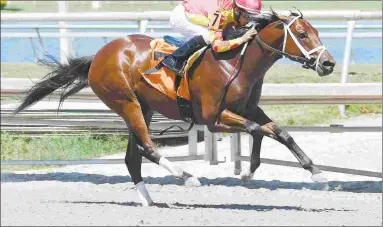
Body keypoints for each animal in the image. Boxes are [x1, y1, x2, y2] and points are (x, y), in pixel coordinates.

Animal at [13, 10, 334, 206]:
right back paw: (187, 176)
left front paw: (316, 172)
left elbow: (279, 132)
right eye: (302, 34)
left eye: (316, 31)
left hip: (142, 108)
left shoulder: (248, 109)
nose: (328, 63)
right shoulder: (214, 118)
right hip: (126, 102)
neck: (236, 63)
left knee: (133, 156)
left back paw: (149, 200)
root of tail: (99, 56)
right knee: (147, 147)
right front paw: (249, 171)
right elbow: (257, 130)